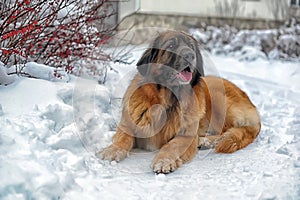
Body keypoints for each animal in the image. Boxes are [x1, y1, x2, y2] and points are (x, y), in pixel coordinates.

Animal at [99, 30, 262, 173]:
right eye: (171, 45)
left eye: (191, 46)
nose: (190, 55)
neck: (166, 101)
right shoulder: (128, 124)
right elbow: (123, 137)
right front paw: (112, 149)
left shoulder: (185, 136)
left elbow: (171, 146)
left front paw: (164, 161)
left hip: (217, 98)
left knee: (225, 131)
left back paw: (205, 141)